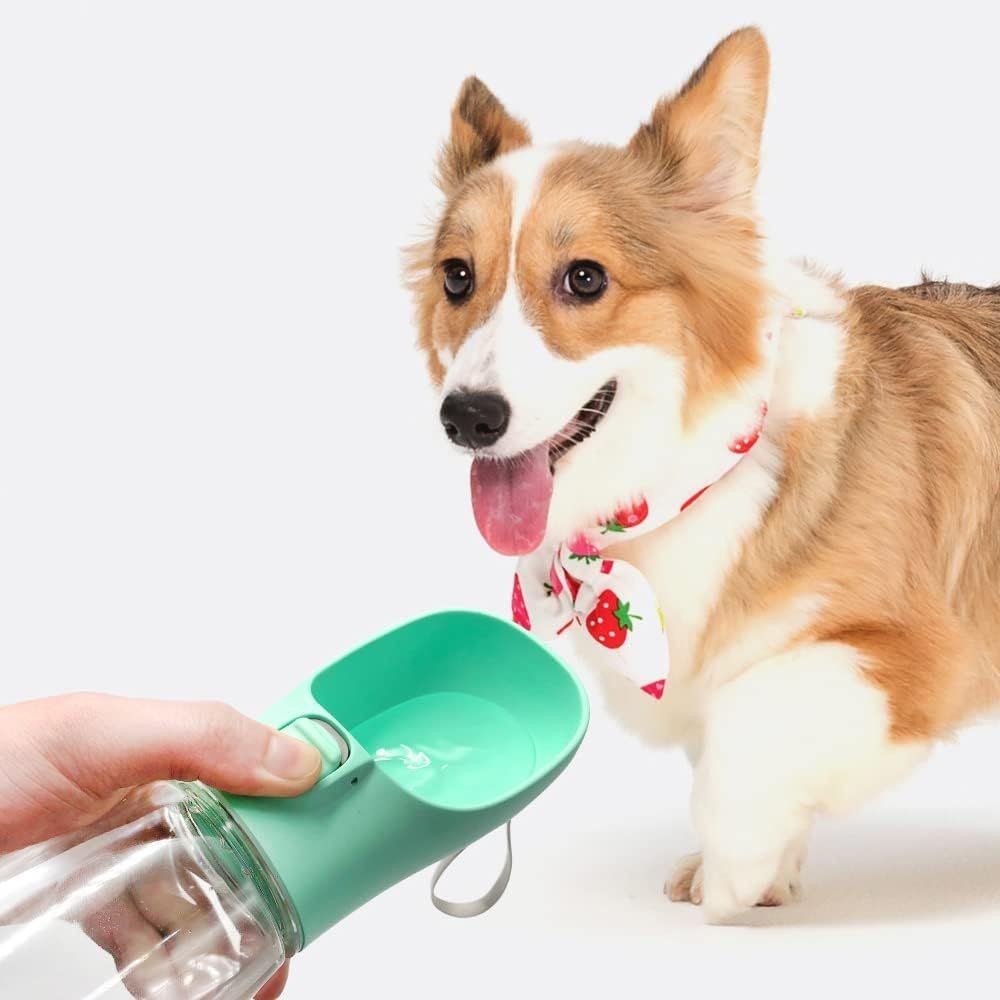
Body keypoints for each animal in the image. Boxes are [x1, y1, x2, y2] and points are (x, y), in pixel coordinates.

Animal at [402, 27, 1000, 920]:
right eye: (457, 276)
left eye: (585, 277)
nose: (467, 418)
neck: (681, 484)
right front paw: (772, 868)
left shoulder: (918, 652)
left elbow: (747, 728)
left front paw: (736, 869)